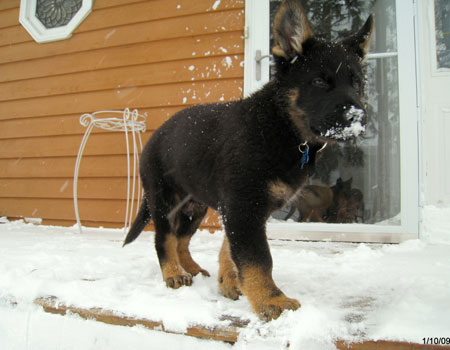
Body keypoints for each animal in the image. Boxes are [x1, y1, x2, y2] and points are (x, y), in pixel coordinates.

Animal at [123, 0, 372, 322]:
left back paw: (191, 268)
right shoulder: (244, 206)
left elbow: (230, 249)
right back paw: (173, 274)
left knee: (181, 240)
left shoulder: (241, 208)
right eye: (319, 81)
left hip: (195, 207)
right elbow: (258, 258)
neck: (282, 125)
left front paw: (230, 281)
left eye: (357, 83)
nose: (359, 119)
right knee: (164, 239)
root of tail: (153, 137)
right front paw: (271, 300)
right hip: (164, 199)